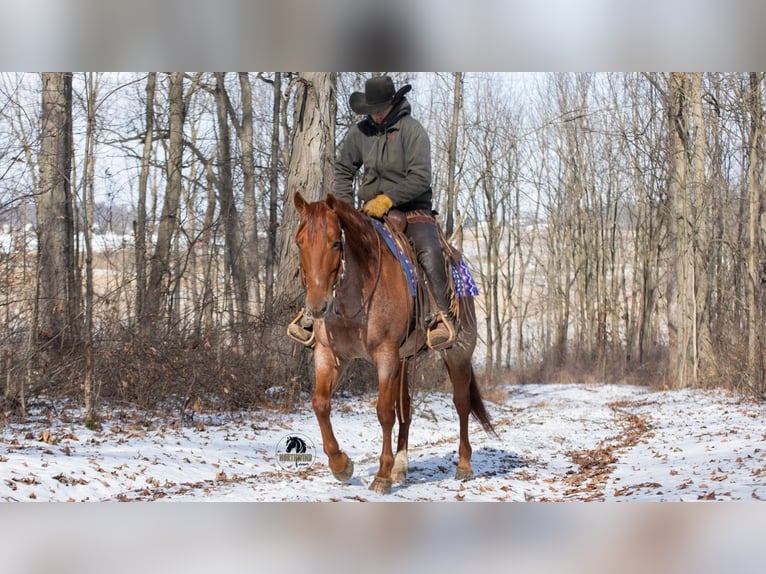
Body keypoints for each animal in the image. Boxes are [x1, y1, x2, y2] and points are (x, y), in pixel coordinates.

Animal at [292, 191, 495, 494]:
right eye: (299, 242)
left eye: (336, 242)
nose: (318, 306)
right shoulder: (330, 353)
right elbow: (320, 403)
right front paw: (341, 464)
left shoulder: (385, 355)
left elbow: (384, 412)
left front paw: (382, 476)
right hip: (403, 360)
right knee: (406, 408)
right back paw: (401, 466)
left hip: (457, 352)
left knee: (461, 404)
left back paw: (464, 465)